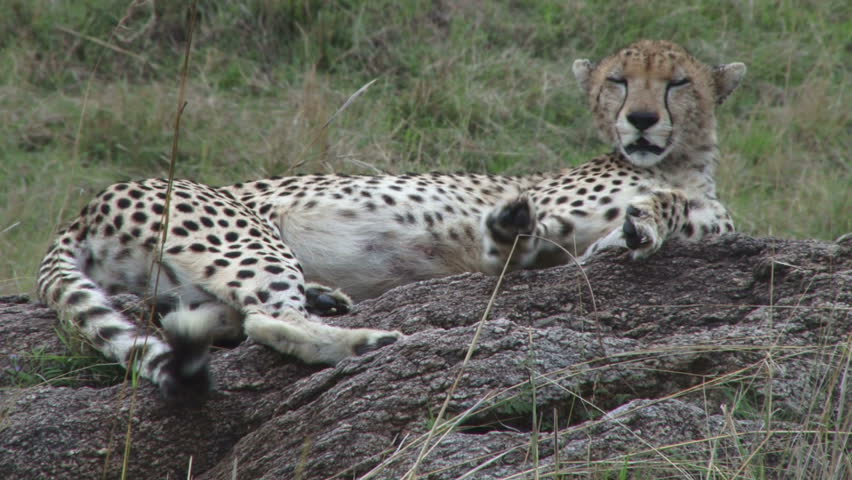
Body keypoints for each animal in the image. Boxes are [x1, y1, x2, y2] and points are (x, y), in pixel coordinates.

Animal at [37, 40, 745, 402]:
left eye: (678, 83)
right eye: (618, 82)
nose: (642, 121)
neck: (683, 162)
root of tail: (88, 203)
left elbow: (691, 218)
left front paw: (645, 225)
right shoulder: (537, 217)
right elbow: (519, 239)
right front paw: (635, 221)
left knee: (209, 320)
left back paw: (327, 304)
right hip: (244, 235)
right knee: (266, 318)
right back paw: (363, 342)